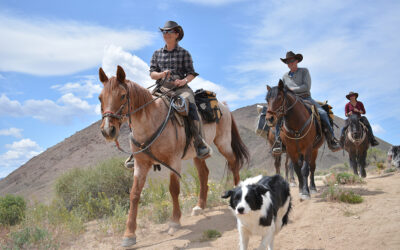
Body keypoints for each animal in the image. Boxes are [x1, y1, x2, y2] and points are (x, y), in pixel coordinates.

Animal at [98, 65, 248, 247]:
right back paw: (199, 206)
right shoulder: (141, 165)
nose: (108, 130)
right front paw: (129, 234)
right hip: (197, 153)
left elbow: (173, 189)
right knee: (203, 173)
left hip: (223, 142)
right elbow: (134, 194)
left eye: (122, 95)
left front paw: (175, 221)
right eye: (100, 98)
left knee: (233, 163)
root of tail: (223, 106)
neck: (151, 122)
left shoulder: (174, 161)